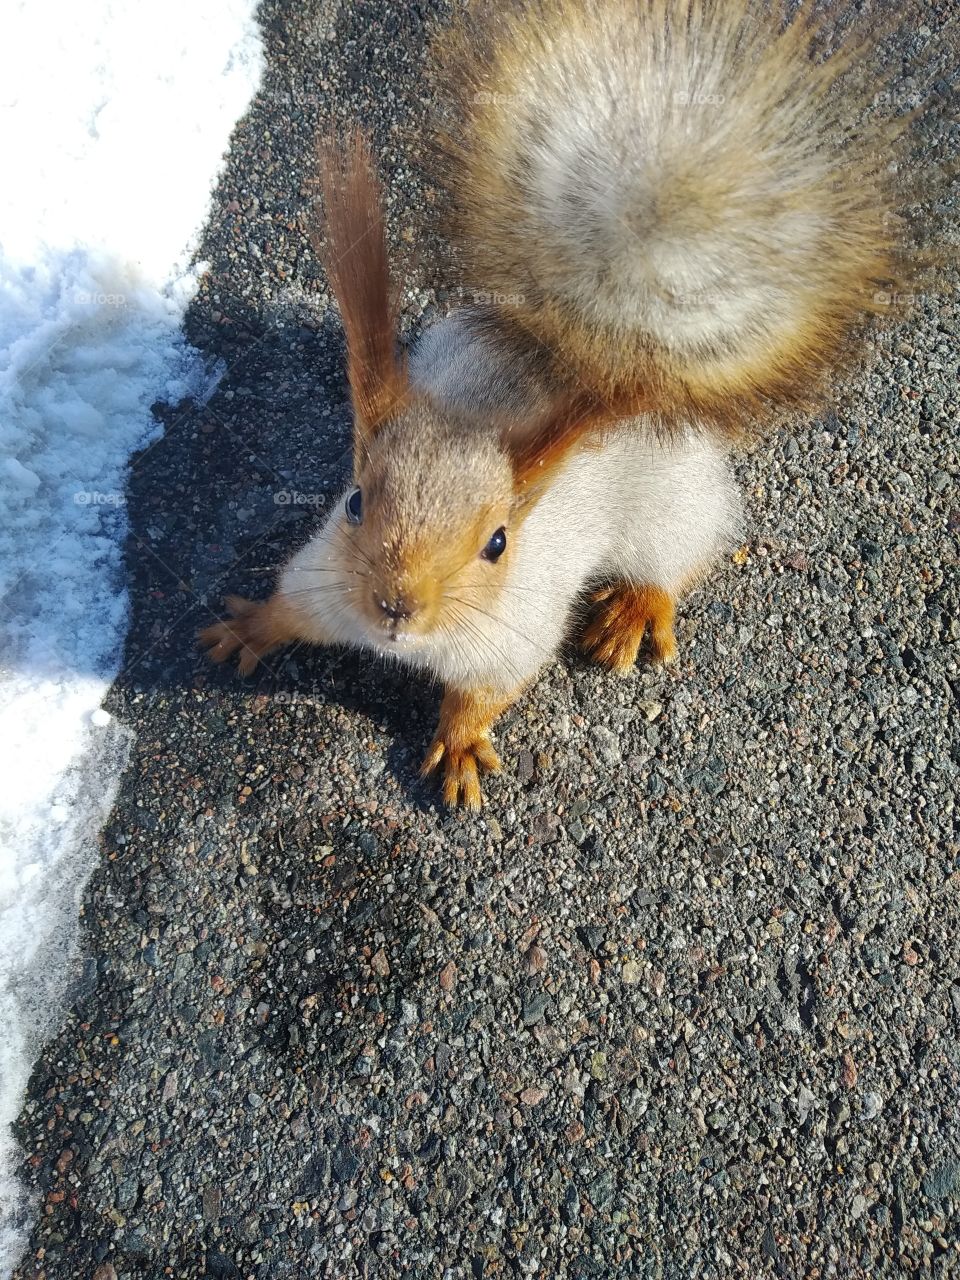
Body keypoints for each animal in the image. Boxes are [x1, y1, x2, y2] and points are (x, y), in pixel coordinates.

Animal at [200, 0, 914, 808]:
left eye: (498, 543)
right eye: (354, 502)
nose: (395, 604)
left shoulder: (514, 632)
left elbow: (485, 692)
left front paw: (458, 744)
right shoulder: (322, 578)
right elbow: (289, 606)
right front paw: (248, 629)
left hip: (673, 505)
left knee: (682, 554)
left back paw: (635, 609)